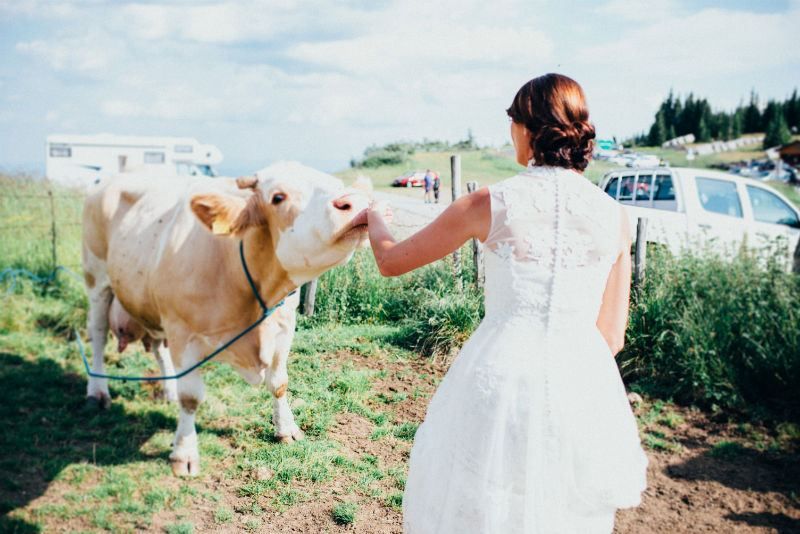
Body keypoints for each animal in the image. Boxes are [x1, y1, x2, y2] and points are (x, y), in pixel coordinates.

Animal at [81, 162, 368, 478]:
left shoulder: (285, 325)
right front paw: (185, 453)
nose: (355, 202)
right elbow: (191, 397)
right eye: (277, 197)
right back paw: (98, 391)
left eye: (337, 185)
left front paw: (287, 428)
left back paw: (168, 391)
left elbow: (279, 382)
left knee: (157, 346)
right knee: (98, 334)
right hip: (96, 279)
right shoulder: (184, 334)